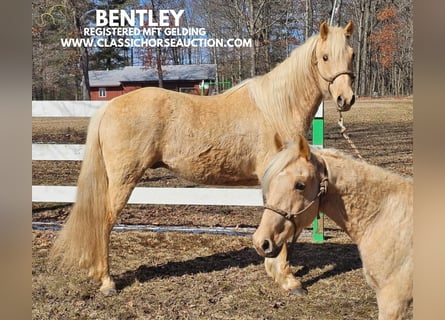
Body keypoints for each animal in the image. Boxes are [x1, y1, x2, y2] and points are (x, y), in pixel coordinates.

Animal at [52, 20, 356, 296]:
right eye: (325, 57)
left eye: (352, 54)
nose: (346, 99)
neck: (276, 108)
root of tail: (110, 105)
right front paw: (288, 280)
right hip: (123, 180)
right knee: (104, 222)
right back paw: (107, 283)